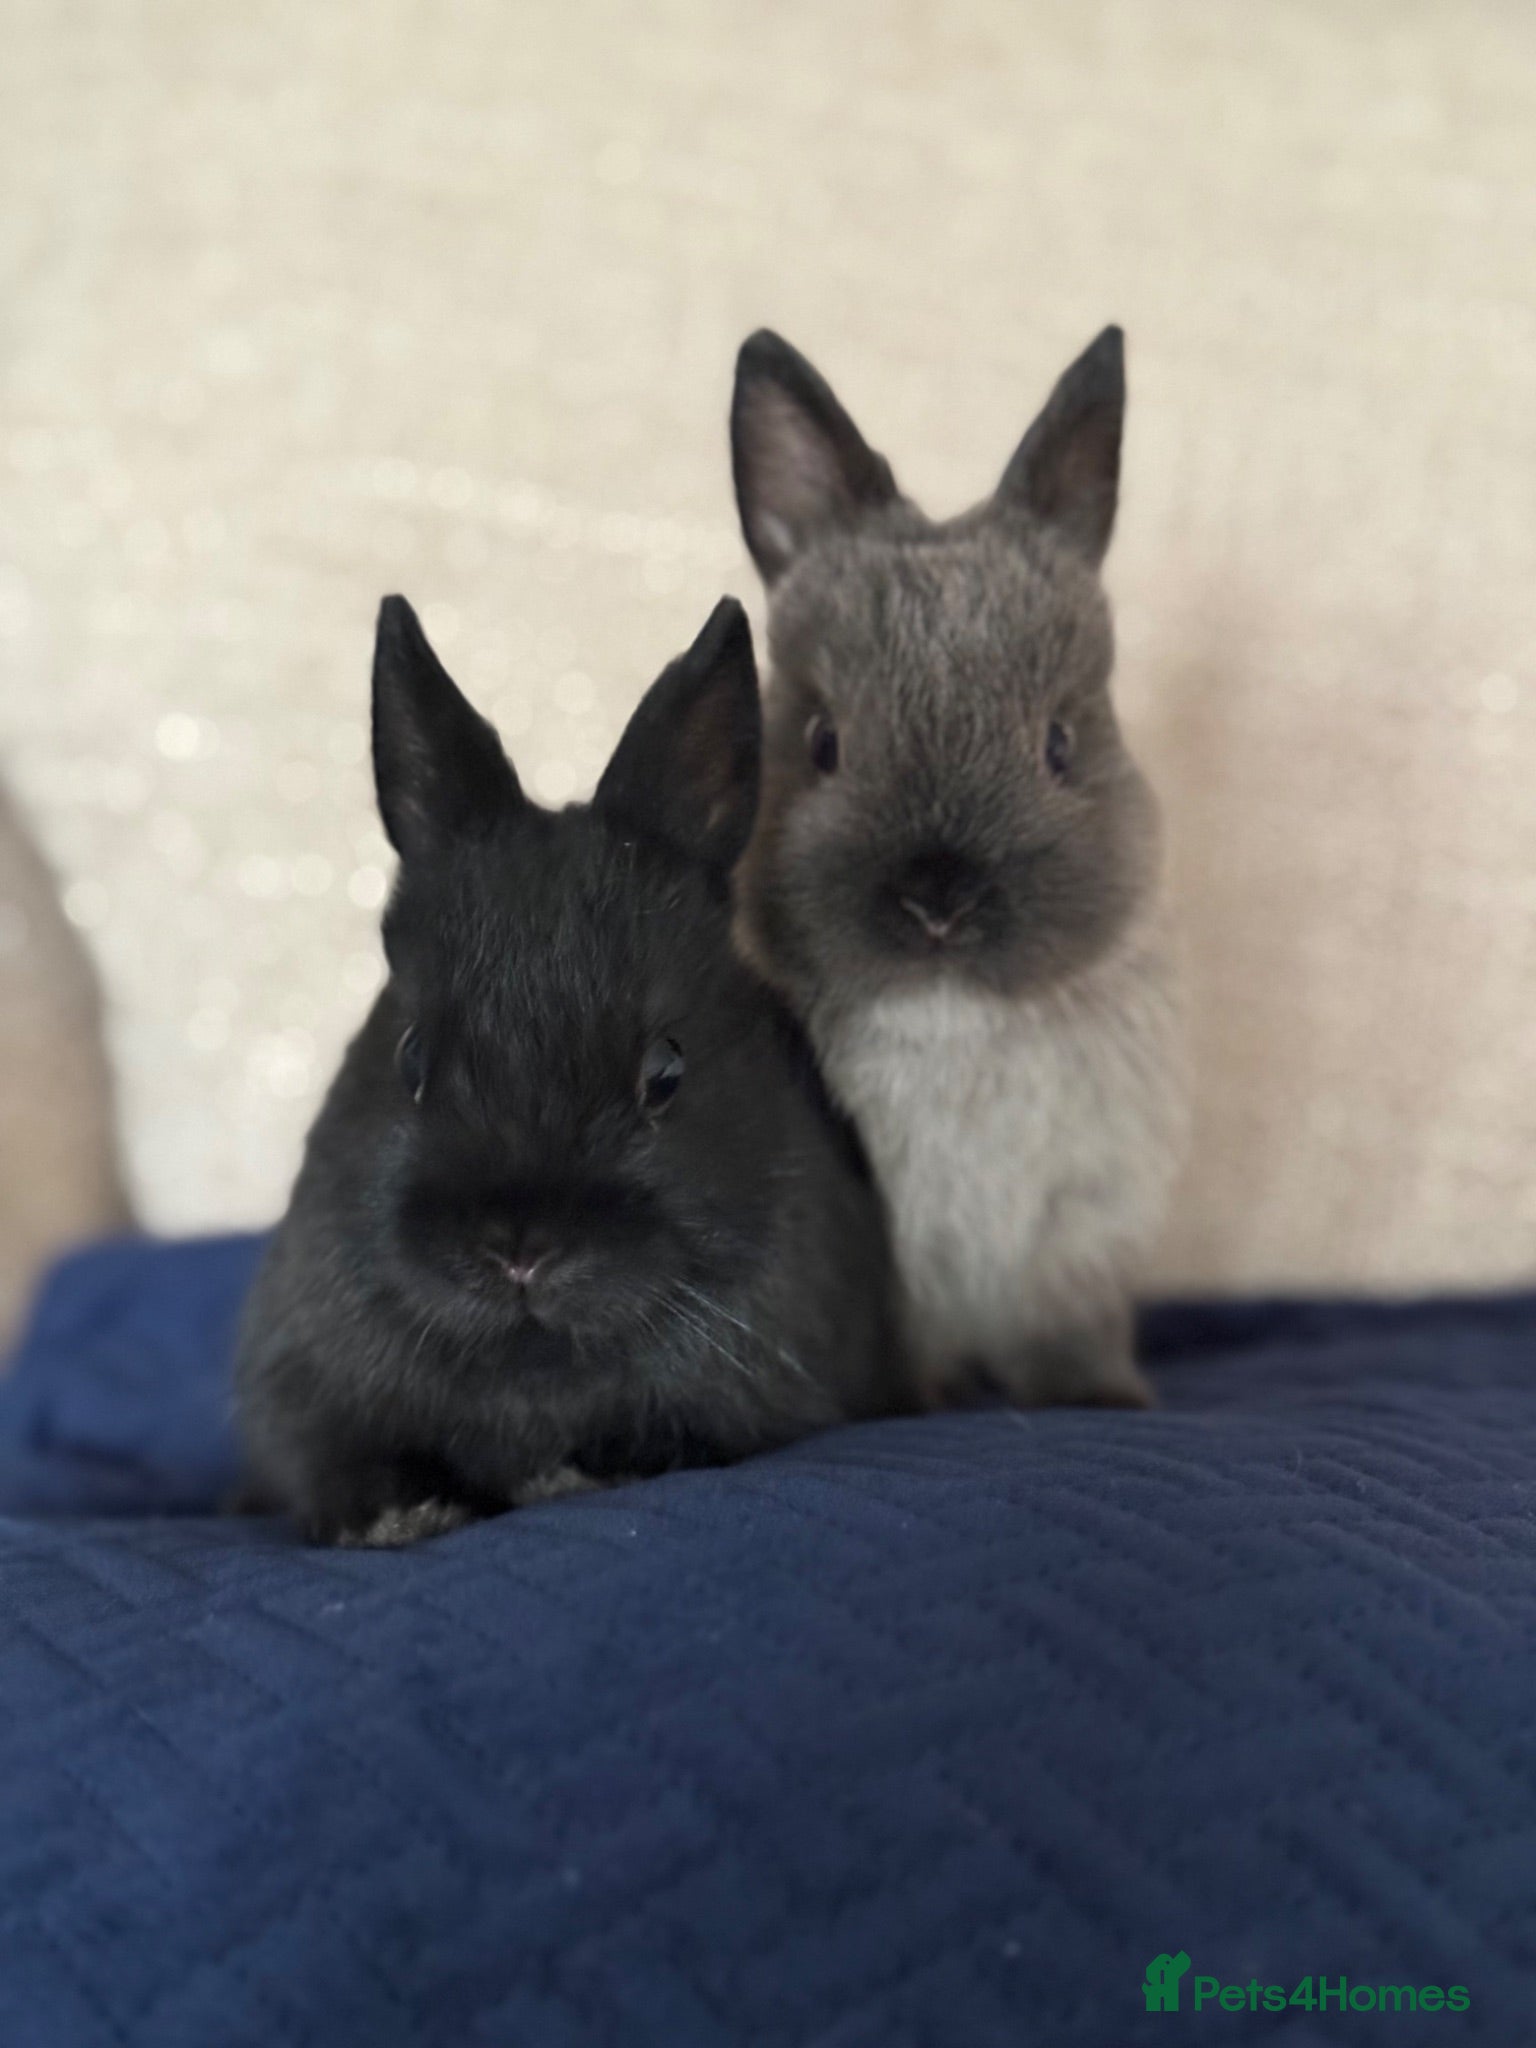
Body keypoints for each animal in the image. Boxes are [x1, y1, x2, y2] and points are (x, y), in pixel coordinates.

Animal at [729, 325, 1187, 1410]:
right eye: (822, 743)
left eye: (1060, 744)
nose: (939, 901)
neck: (953, 1024)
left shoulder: (1080, 1231)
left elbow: (1069, 1333)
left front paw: (1100, 1397)